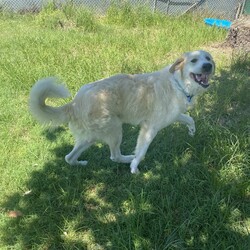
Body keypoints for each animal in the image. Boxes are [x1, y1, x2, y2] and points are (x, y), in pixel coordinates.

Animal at [29, 49, 215, 173]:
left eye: (208, 58)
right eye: (194, 61)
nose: (208, 66)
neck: (178, 83)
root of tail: (74, 103)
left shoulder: (174, 115)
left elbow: (190, 119)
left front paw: (192, 132)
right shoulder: (149, 128)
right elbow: (141, 151)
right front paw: (135, 168)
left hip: (90, 138)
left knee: (69, 157)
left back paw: (80, 164)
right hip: (115, 130)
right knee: (115, 156)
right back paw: (128, 159)